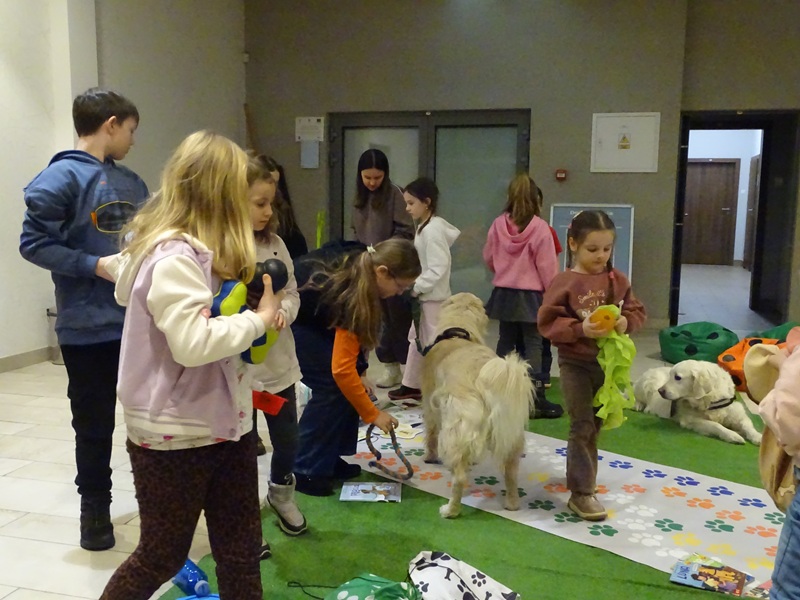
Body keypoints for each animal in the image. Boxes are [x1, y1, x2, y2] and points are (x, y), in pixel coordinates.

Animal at [420, 292, 533, 518]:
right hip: (510, 435)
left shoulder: (430, 405)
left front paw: (429, 456)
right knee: (511, 472)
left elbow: (430, 434)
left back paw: (450, 510)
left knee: (459, 477)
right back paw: (512, 503)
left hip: (453, 430)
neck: (457, 333)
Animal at [633, 360, 762, 445]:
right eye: (670, 376)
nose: (660, 391)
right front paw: (733, 435)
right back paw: (638, 405)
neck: (710, 400)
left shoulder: (737, 413)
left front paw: (757, 437)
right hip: (645, 385)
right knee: (635, 397)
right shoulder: (690, 419)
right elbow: (715, 425)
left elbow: (747, 425)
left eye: (677, 377)